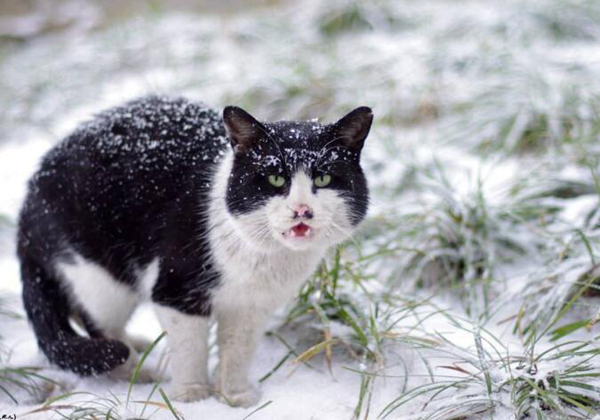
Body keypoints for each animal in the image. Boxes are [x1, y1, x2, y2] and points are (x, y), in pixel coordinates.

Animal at [16, 96, 372, 406]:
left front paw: (234, 397)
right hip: (100, 276)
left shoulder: (251, 306)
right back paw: (138, 370)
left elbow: (237, 350)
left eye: (323, 179)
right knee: (98, 324)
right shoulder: (175, 290)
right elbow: (191, 348)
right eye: (274, 178)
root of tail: (28, 199)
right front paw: (193, 397)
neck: (263, 262)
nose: (301, 210)